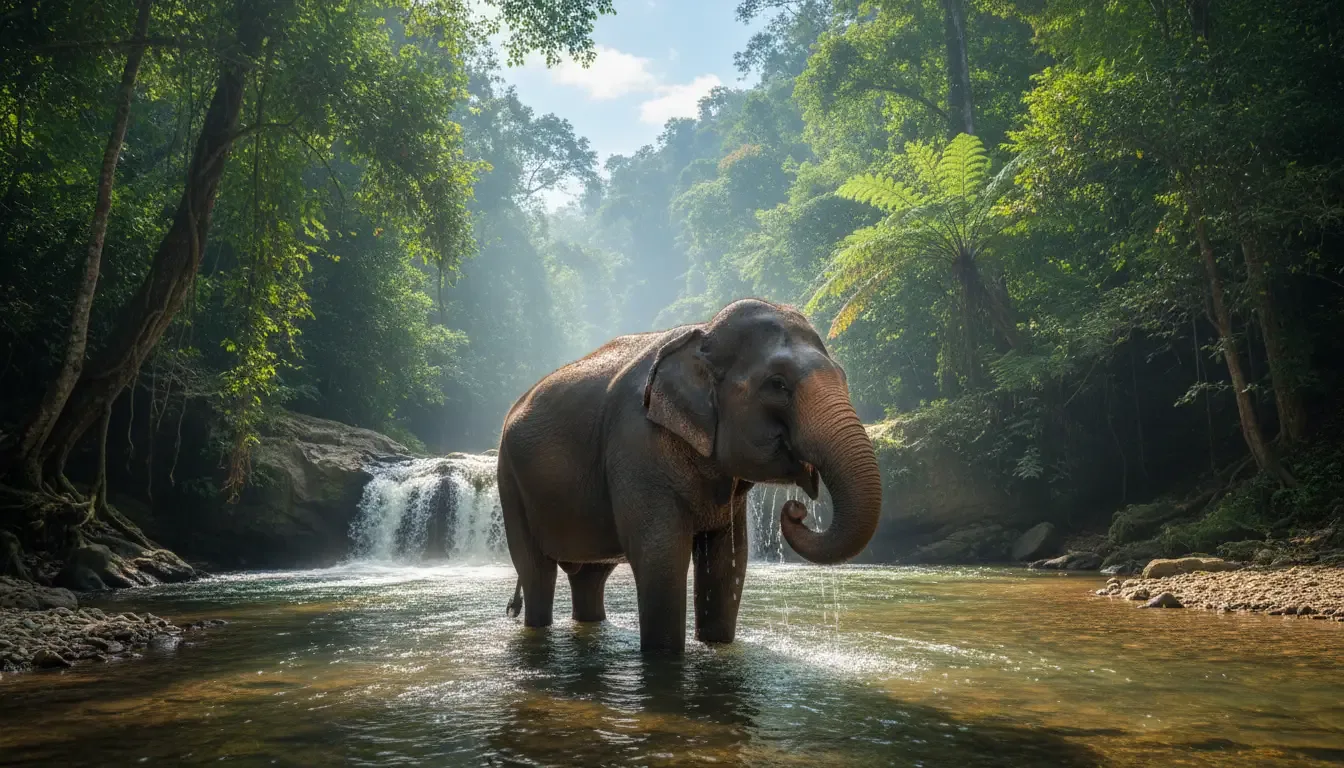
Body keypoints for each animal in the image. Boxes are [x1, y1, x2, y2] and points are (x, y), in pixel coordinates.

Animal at [496, 298, 882, 653]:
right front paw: (664, 658)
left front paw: (716, 644)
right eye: (777, 384)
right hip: (510, 482)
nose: (795, 509)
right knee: (536, 573)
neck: (703, 331)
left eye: (843, 376)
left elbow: (728, 562)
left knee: (590, 577)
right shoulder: (637, 446)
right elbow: (661, 559)